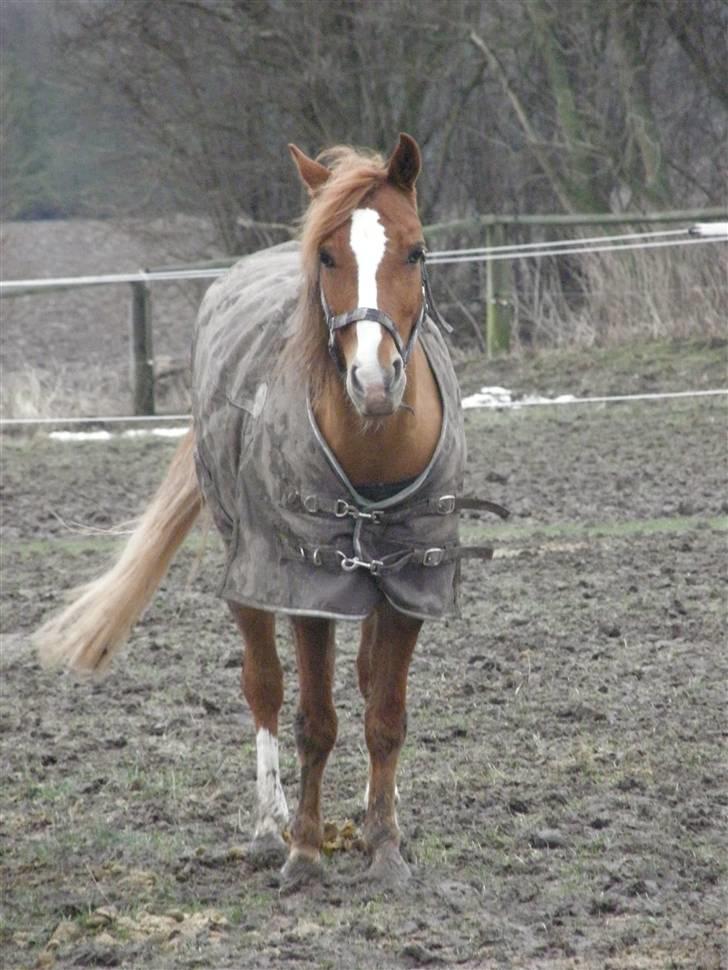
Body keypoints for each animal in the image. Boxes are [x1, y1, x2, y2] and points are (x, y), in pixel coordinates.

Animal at [37, 132, 504, 888]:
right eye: (327, 255)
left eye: (416, 251)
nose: (374, 381)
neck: (373, 446)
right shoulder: (307, 588)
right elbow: (315, 719)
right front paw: (306, 853)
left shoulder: (409, 589)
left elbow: (385, 714)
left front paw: (384, 844)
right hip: (249, 573)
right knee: (265, 687)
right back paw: (268, 826)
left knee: (363, 684)